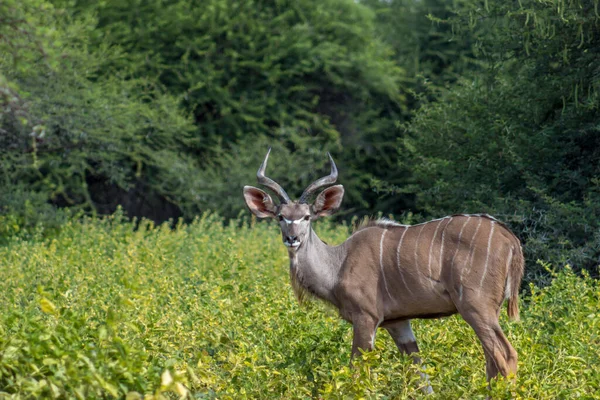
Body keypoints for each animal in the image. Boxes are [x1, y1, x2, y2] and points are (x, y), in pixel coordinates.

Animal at [241, 148, 524, 390]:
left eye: (307, 217)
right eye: (281, 217)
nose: (292, 239)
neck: (339, 264)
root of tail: (509, 238)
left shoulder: (366, 318)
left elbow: (358, 371)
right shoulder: (397, 323)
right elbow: (420, 375)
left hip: (476, 307)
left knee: (505, 355)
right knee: (492, 361)